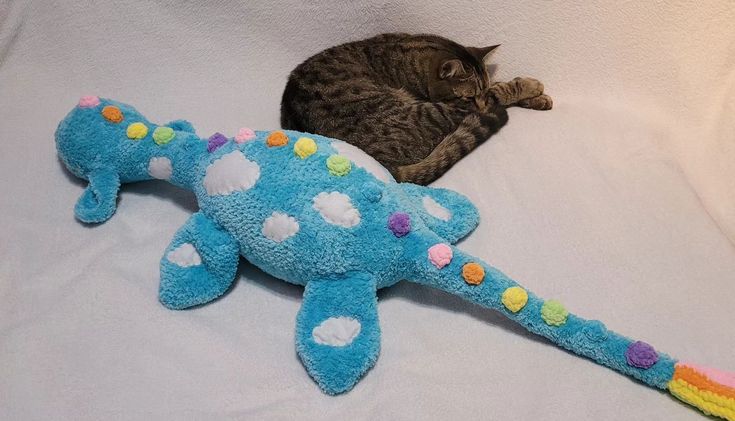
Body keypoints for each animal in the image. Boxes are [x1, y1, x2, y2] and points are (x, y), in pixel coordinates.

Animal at [282, 32, 552, 184]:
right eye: (468, 97)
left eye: (479, 92)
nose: (480, 103)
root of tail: (387, 168)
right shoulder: (461, 106)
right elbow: (501, 90)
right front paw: (530, 86)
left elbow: (496, 86)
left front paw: (539, 98)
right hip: (428, 113)